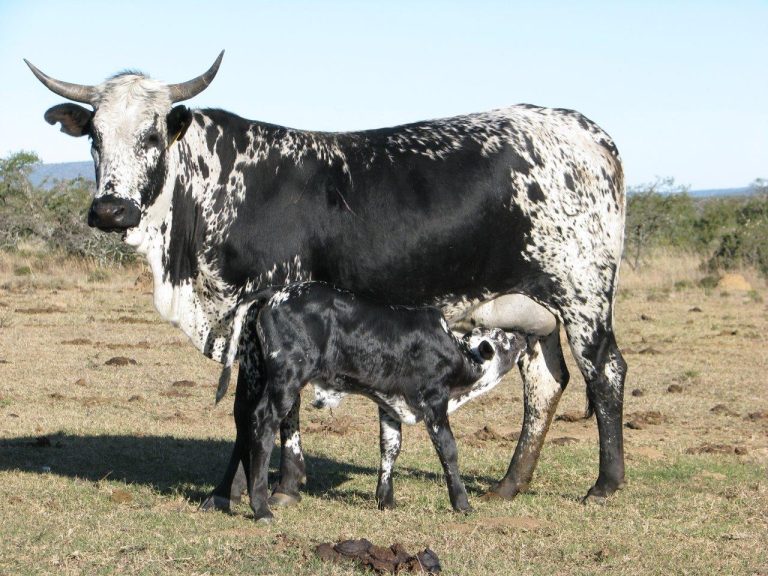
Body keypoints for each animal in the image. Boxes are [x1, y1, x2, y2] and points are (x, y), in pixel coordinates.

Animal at [231, 282, 524, 520]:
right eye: (502, 338)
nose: (521, 336)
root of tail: (277, 292)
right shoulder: (435, 403)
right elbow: (448, 450)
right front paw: (462, 504)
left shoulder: (389, 405)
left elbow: (390, 447)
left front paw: (385, 500)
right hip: (287, 379)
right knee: (263, 422)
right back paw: (261, 507)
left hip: (257, 374)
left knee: (246, 419)